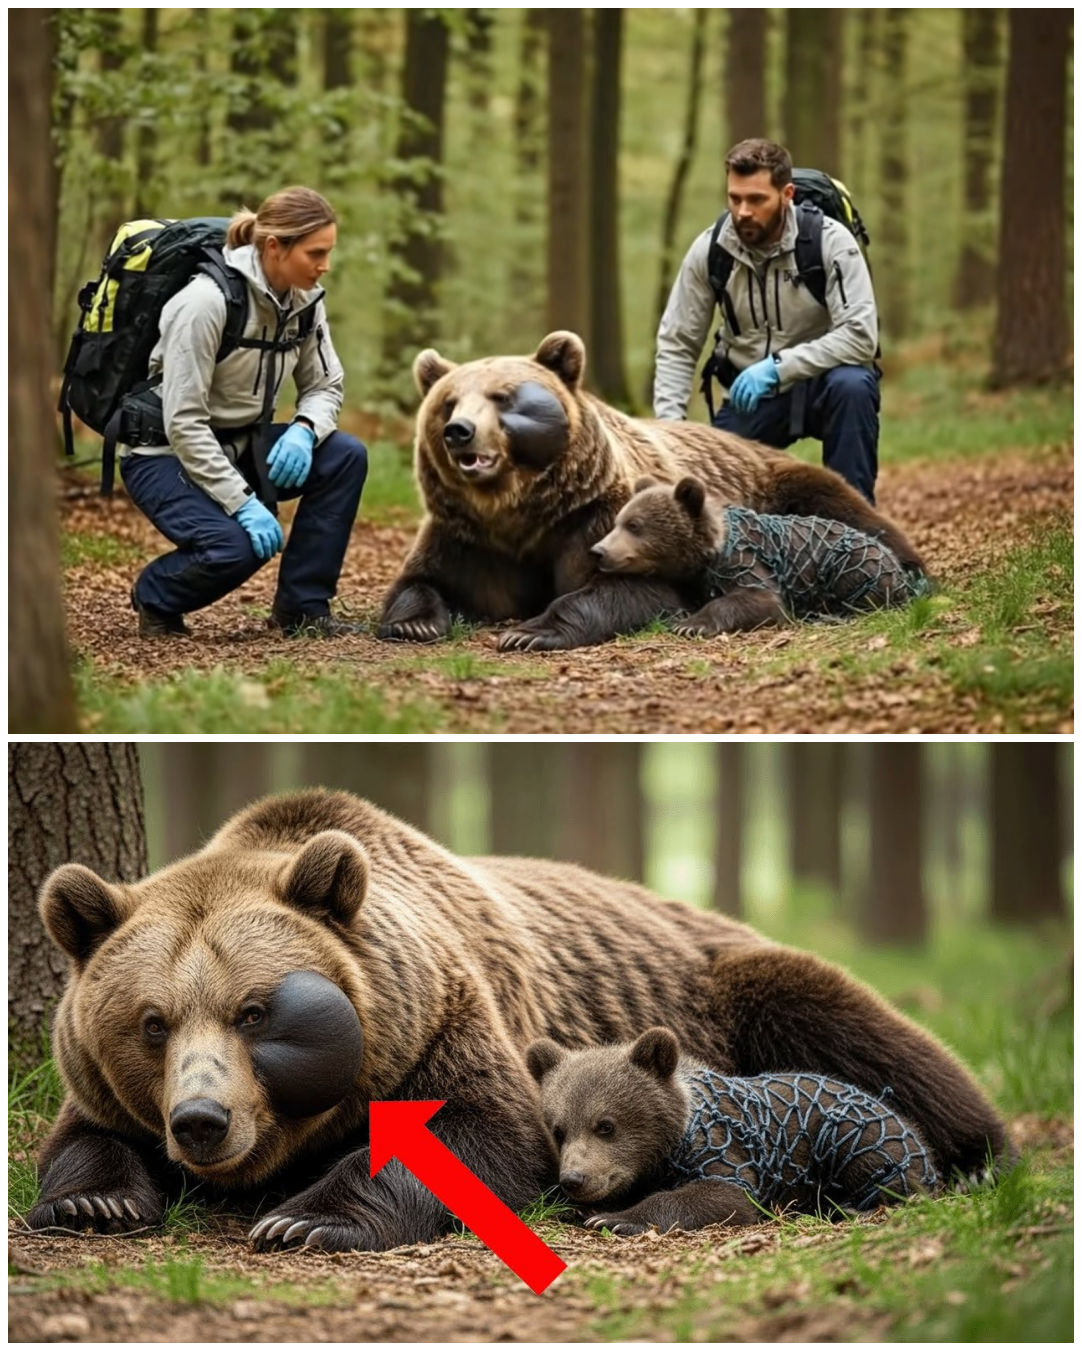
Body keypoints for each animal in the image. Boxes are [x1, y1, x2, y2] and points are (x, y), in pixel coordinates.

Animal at [526, 1027, 938, 1237]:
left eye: (606, 1125)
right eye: (559, 1129)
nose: (573, 1179)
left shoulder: (724, 1148)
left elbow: (723, 1196)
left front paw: (615, 1217)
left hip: (853, 1130)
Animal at [591, 475, 927, 637]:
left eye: (634, 525)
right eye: (618, 521)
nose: (599, 551)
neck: (706, 553)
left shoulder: (741, 560)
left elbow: (758, 598)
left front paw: (691, 624)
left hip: (855, 562)